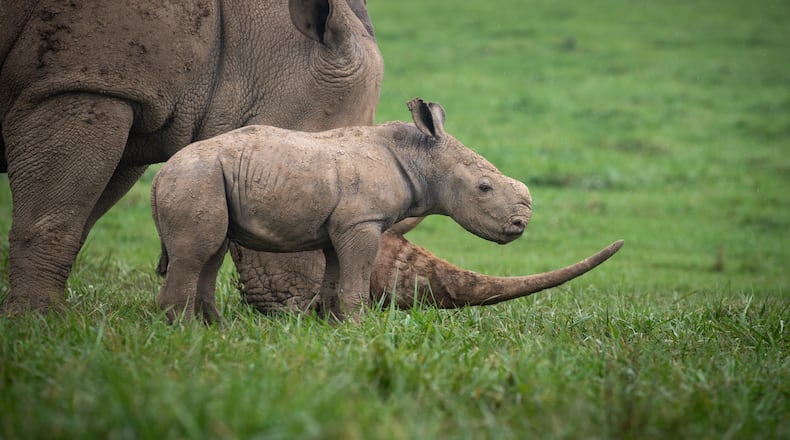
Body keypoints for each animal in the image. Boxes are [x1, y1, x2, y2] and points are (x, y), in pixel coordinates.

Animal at [152, 98, 622, 322]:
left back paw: (216, 329)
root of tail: (159, 176)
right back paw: (188, 332)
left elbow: (335, 278)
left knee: (211, 251)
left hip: (206, 178)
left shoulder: (341, 225)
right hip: (195, 178)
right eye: (484, 188)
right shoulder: (363, 222)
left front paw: (330, 327)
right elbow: (357, 281)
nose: (521, 225)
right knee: (198, 252)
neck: (422, 156)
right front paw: (360, 330)